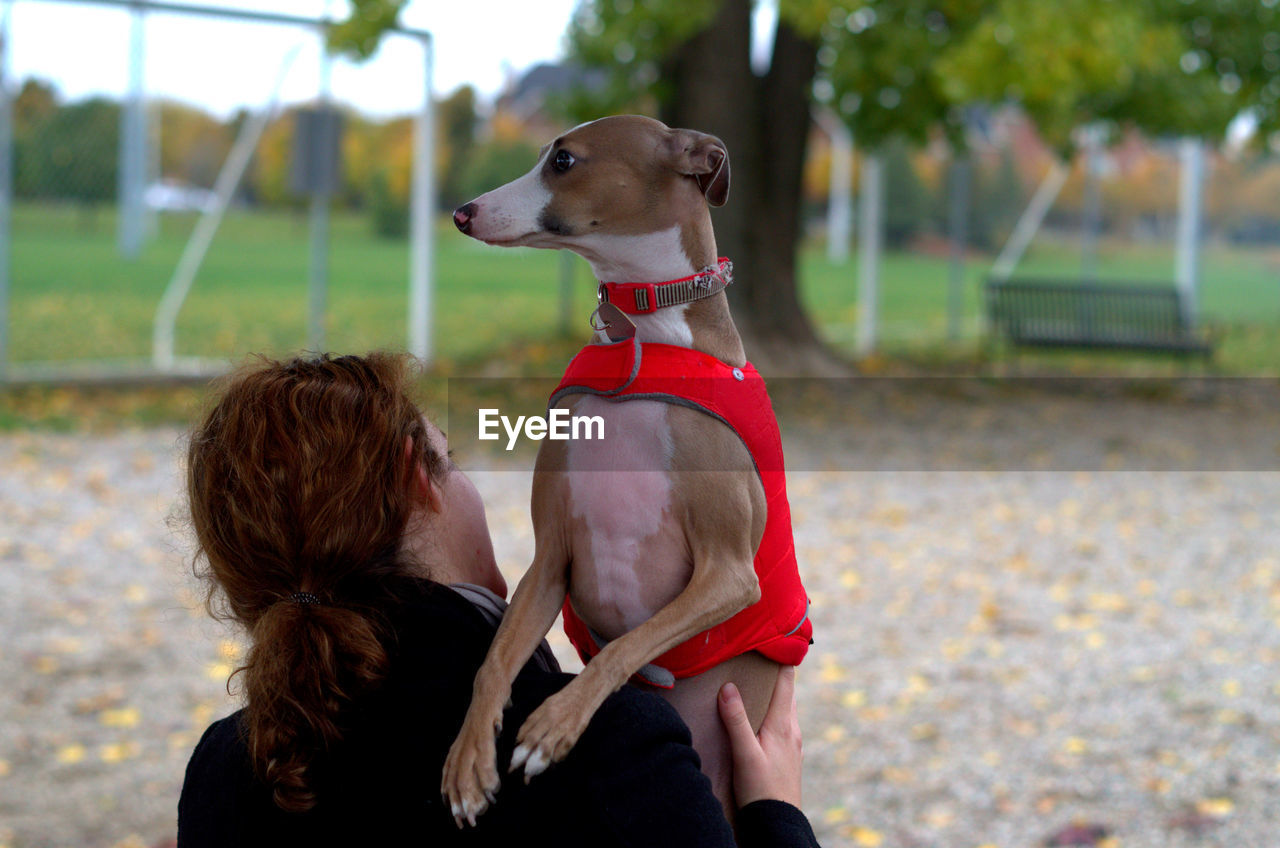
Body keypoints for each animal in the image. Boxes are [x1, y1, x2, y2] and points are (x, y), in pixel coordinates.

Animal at [440, 116, 798, 824]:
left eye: (564, 160)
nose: (463, 213)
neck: (644, 340)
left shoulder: (729, 574)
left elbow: (627, 646)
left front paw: (554, 726)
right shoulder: (551, 557)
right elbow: (492, 664)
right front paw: (468, 762)